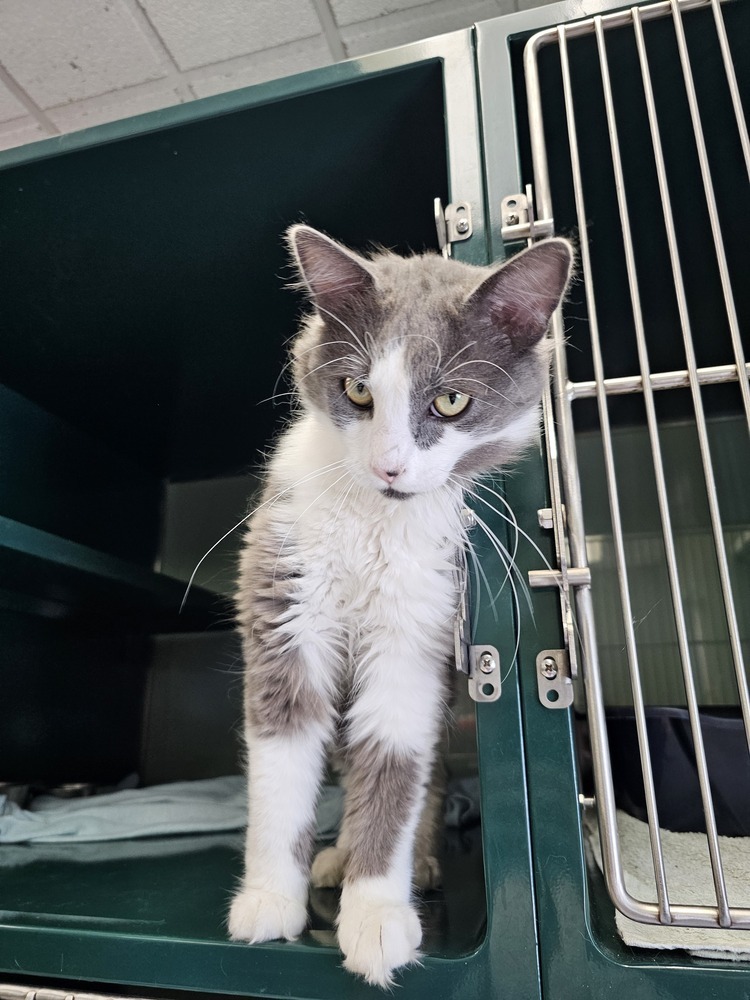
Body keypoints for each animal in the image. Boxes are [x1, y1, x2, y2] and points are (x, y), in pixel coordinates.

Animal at [226, 225, 572, 984]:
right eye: (357, 389)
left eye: (451, 403)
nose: (388, 467)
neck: (373, 522)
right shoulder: (285, 609)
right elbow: (281, 773)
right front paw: (270, 901)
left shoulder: (415, 637)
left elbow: (392, 766)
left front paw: (377, 916)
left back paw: (414, 864)